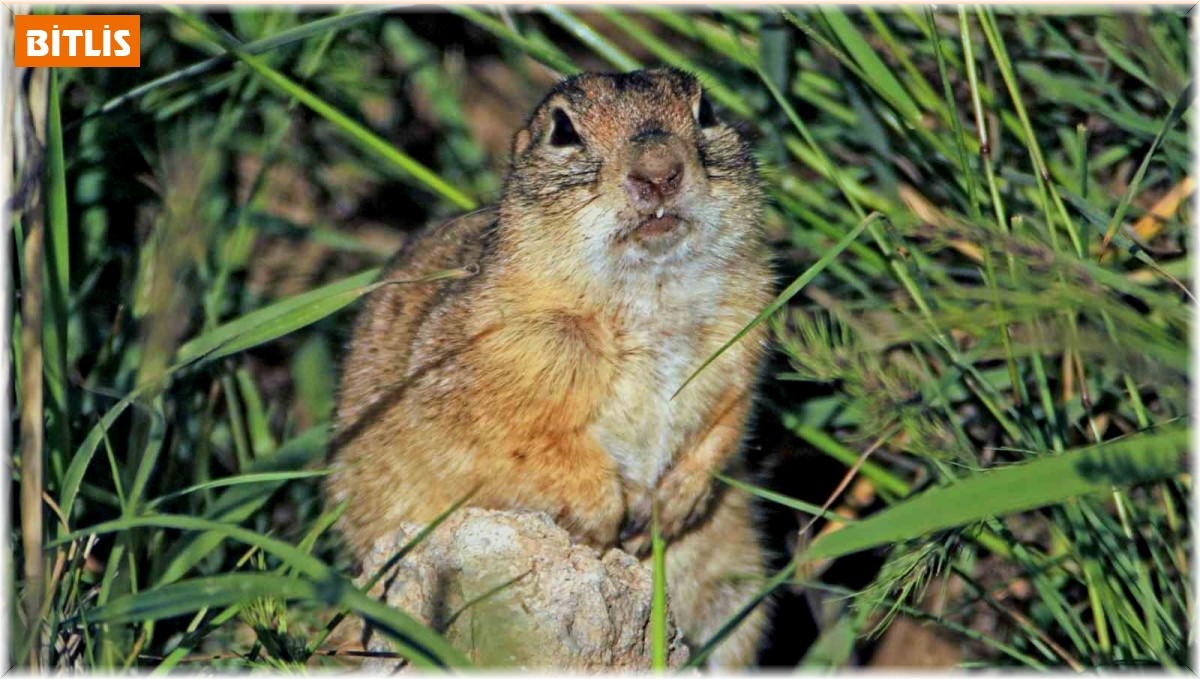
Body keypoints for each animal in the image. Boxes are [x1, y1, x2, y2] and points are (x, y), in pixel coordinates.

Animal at [328, 69, 772, 671]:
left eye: (707, 112)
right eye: (563, 130)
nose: (660, 172)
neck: (650, 294)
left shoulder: (743, 337)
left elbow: (728, 422)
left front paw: (670, 507)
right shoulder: (499, 359)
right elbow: (528, 448)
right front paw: (607, 517)